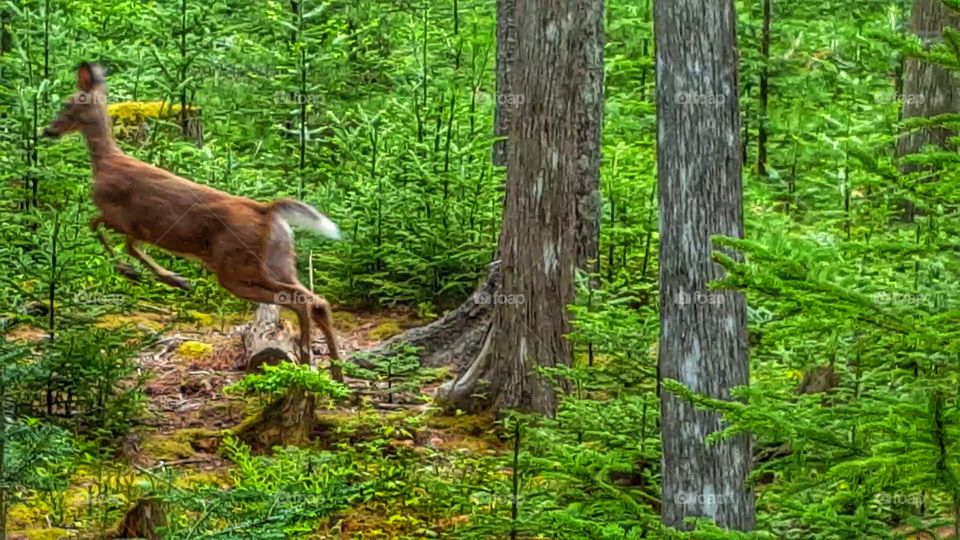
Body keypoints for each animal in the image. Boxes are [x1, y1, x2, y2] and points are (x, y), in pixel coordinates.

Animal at [44, 62, 344, 382]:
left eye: (68, 103)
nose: (48, 130)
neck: (104, 163)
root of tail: (267, 211)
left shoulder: (121, 217)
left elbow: (99, 228)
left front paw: (137, 272)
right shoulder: (140, 228)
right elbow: (126, 244)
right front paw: (172, 279)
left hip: (239, 268)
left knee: (302, 300)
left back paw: (311, 360)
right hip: (279, 262)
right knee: (315, 301)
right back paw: (331, 372)